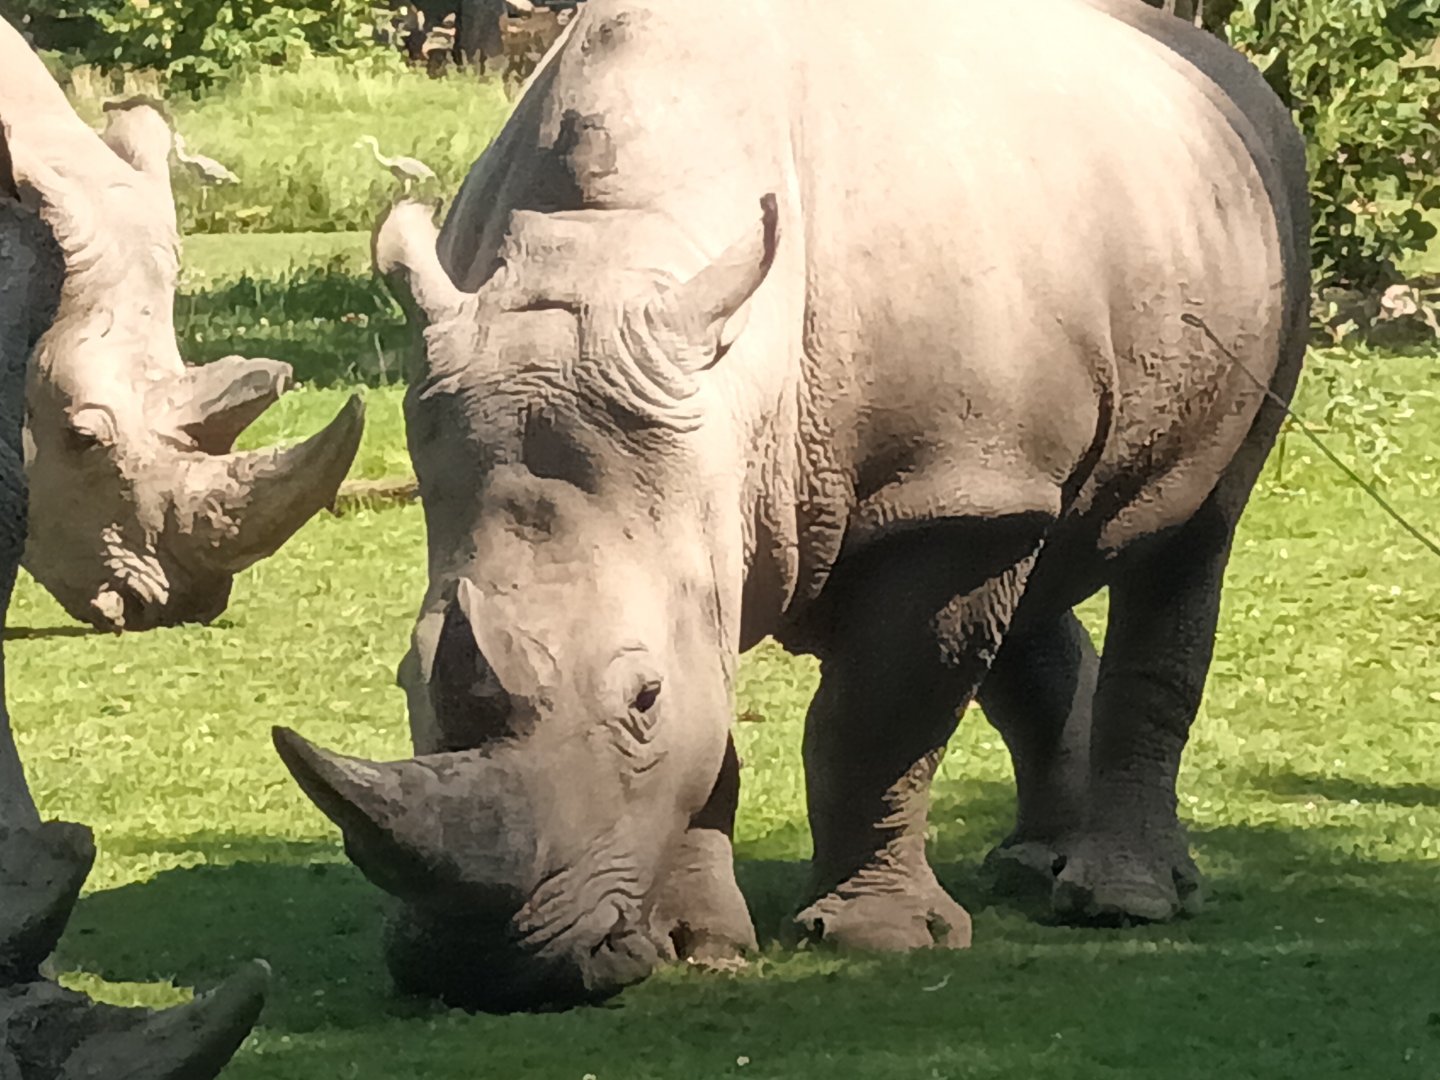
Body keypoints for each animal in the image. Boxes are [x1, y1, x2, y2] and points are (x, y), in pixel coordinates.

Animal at [275, 0, 1310, 1011]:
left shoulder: (931, 484)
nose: (475, 968)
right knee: (1029, 566)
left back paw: (1121, 901)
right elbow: (722, 732)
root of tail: (1222, 68)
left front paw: (875, 938)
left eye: (642, 700)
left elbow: (877, 719)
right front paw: (697, 945)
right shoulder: (780, 490)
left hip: (1254, 222)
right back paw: (1031, 865)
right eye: (407, 680)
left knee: (1187, 542)